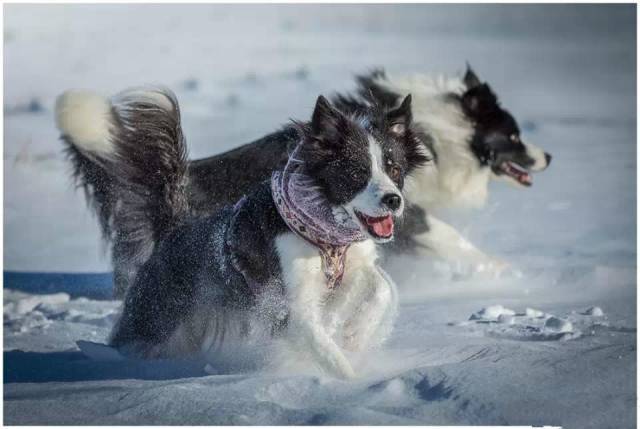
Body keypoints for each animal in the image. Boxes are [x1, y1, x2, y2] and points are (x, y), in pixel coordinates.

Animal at [57, 64, 552, 298]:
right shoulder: (400, 211)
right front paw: (503, 269)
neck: (442, 131)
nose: (548, 155)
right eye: (513, 135)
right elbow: (448, 236)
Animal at [58, 88, 424, 376]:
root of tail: (176, 228)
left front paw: (354, 335)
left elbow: (382, 287)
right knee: (129, 341)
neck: (324, 231)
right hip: (158, 310)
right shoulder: (284, 299)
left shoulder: (356, 264)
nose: (393, 200)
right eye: (357, 172)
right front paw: (349, 380)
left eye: (394, 169)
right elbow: (315, 335)